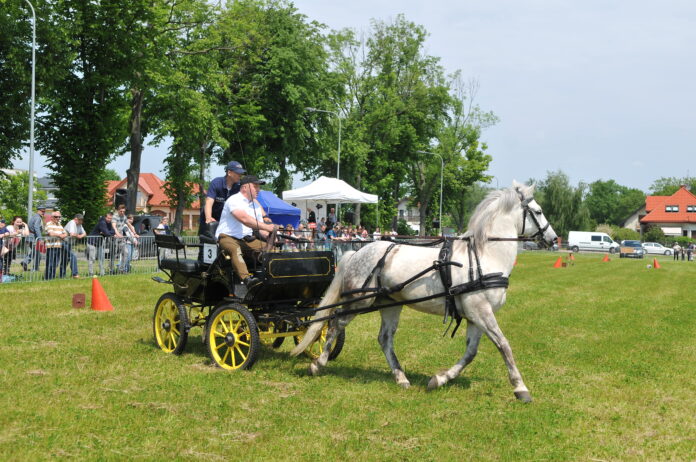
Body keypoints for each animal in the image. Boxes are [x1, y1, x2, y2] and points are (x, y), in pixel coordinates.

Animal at [290, 182, 556, 402]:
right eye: (539, 211)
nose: (553, 239)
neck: (484, 257)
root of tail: (357, 252)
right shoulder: (481, 312)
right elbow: (503, 345)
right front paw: (520, 388)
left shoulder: (475, 315)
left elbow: (471, 353)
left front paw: (440, 379)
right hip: (358, 301)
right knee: (335, 325)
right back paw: (318, 364)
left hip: (390, 304)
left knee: (384, 339)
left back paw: (401, 377)